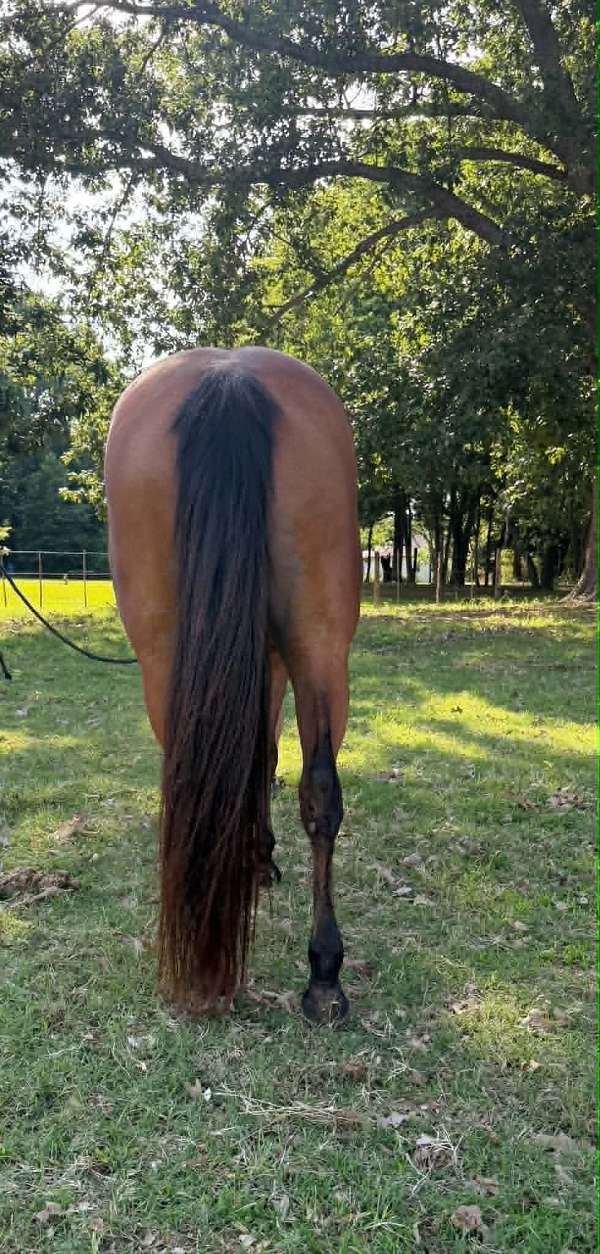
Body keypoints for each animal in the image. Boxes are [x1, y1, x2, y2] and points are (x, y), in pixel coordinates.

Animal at [104, 347, 360, 1024]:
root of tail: (229, 376)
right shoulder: (272, 666)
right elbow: (265, 760)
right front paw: (260, 857)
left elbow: (258, 758)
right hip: (319, 645)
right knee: (321, 791)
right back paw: (324, 973)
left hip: (167, 651)